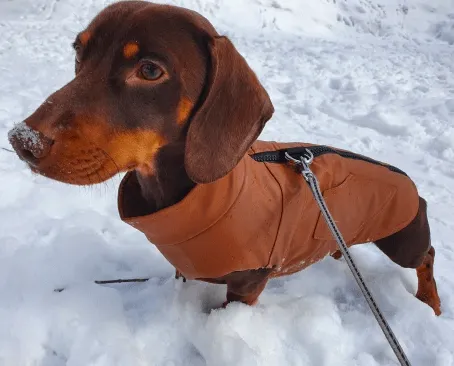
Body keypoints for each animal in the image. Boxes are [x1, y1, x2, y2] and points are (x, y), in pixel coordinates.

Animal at [7, 0, 440, 314]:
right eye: (79, 52)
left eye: (150, 70)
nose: (21, 140)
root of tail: (411, 183)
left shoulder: (249, 283)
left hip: (403, 239)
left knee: (427, 255)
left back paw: (431, 302)